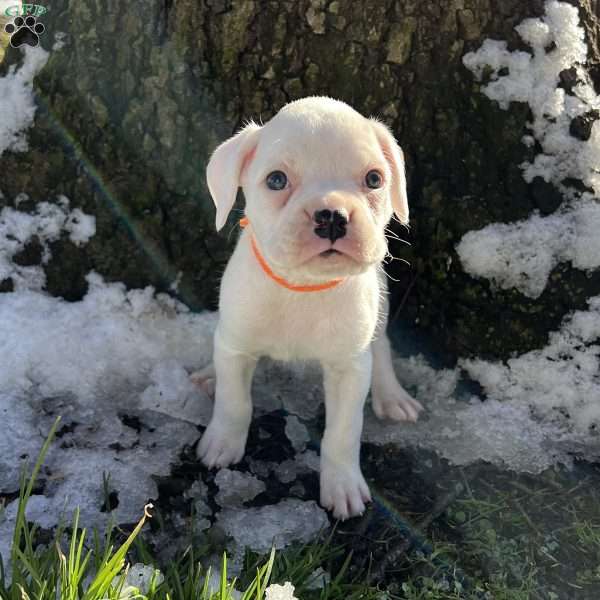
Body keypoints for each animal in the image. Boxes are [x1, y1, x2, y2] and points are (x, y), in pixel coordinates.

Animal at [195, 96, 424, 516]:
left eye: (374, 179)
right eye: (276, 180)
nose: (332, 215)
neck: (303, 286)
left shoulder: (349, 369)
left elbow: (343, 432)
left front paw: (343, 485)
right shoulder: (236, 347)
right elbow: (235, 403)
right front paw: (222, 443)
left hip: (380, 304)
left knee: (381, 346)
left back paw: (392, 395)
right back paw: (207, 375)